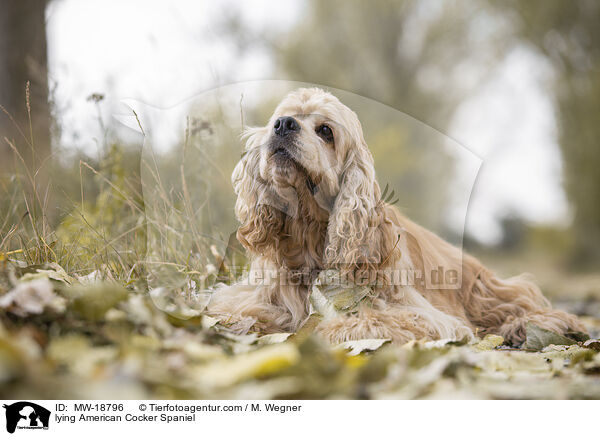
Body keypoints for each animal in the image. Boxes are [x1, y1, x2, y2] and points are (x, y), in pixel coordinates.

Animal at [207, 87, 584, 344]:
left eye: (326, 131)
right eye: (277, 119)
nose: (283, 125)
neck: (310, 235)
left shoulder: (423, 316)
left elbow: (359, 323)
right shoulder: (247, 297)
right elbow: (235, 311)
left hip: (485, 289)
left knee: (526, 303)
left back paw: (538, 326)